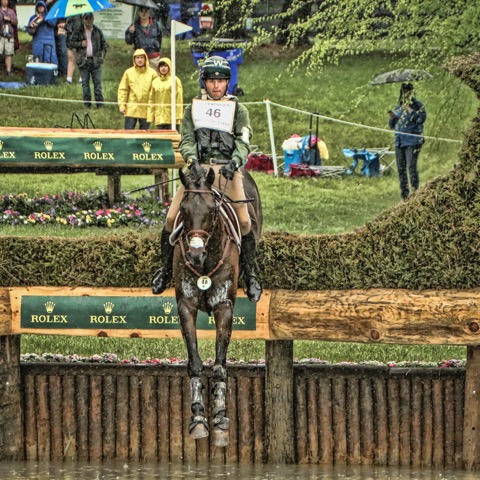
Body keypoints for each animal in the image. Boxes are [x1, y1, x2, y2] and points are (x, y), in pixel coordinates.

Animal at [172, 164, 262, 447]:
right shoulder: (185, 306)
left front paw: (220, 418)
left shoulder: (224, 307)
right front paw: (198, 417)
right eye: (183, 209)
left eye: (212, 210)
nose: (195, 254)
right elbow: (195, 362)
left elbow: (221, 365)